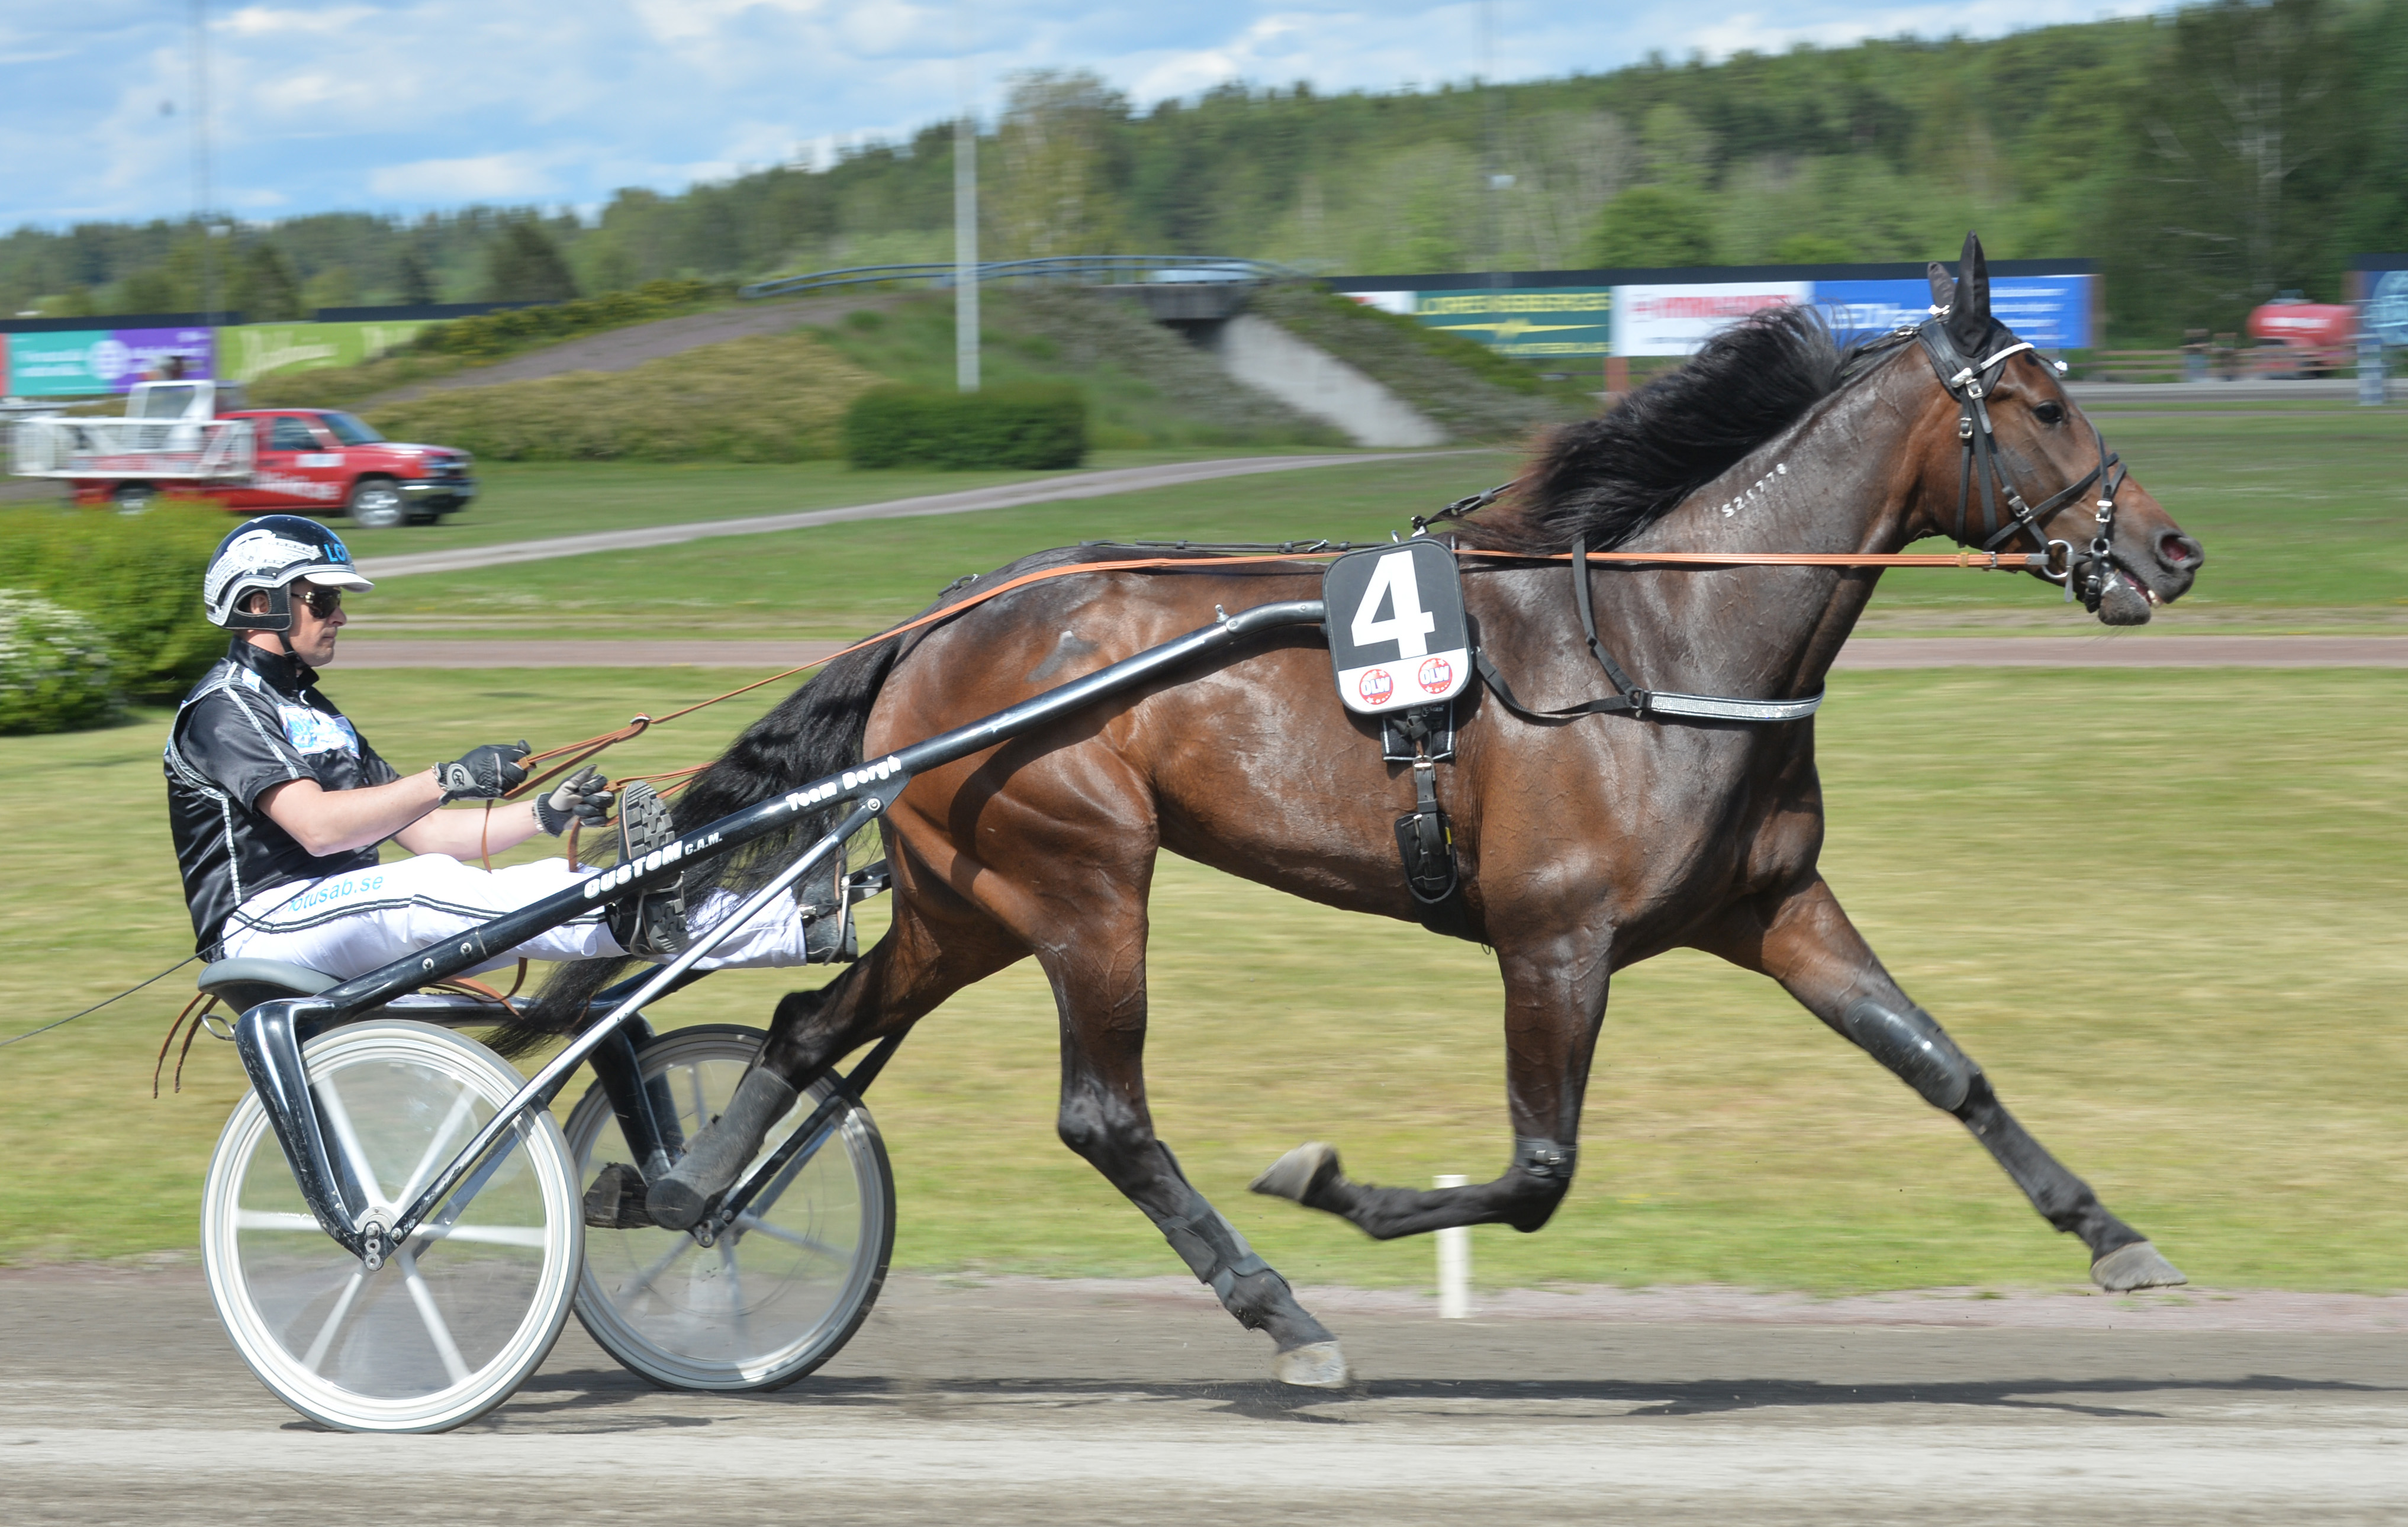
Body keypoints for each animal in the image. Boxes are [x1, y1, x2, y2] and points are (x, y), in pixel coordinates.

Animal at [517, 234, 2206, 1377]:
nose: (2173, 551)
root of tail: (944, 621)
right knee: (1102, 1111)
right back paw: (1279, 1306)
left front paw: (2116, 1238)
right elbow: (1536, 1172)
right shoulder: (1553, 938)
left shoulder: (1772, 905)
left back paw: (688, 1194)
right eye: (2041, 401)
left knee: (813, 1028)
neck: (1665, 643)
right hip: (1083, 878)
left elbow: (1943, 1066)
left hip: (968, 899)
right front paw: (1332, 1183)